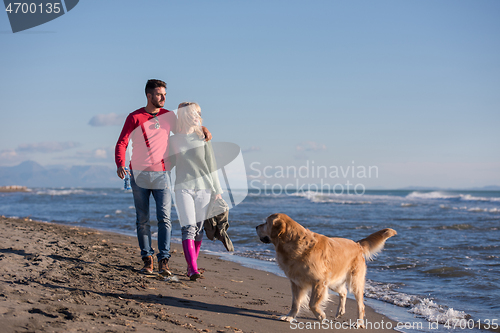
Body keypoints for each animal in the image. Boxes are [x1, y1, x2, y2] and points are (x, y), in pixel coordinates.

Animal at [256, 213, 396, 326]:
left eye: (266, 222)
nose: (256, 227)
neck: (295, 243)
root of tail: (357, 244)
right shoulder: (296, 282)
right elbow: (295, 303)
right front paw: (289, 317)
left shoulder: (319, 282)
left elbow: (312, 303)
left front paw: (321, 316)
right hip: (333, 281)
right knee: (344, 292)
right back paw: (340, 311)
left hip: (354, 281)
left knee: (360, 305)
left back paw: (359, 323)